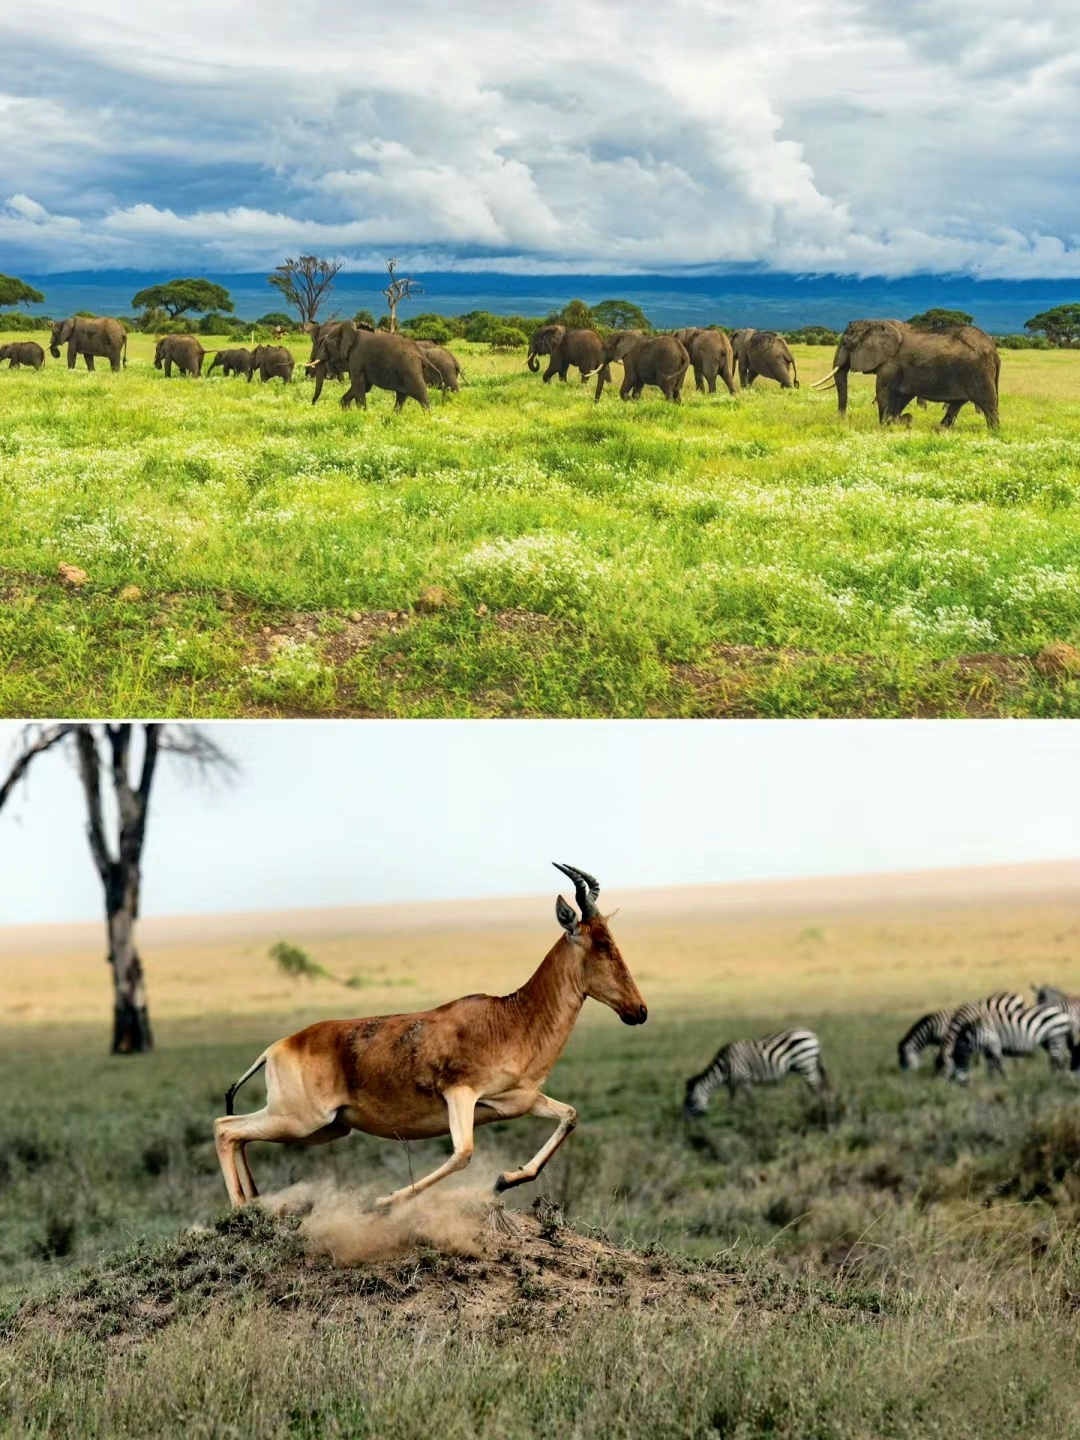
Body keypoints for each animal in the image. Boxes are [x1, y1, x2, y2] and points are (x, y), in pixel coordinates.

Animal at [216, 864, 648, 1215]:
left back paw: (255, 1203)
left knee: (237, 1134)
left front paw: (505, 1179)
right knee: (225, 1127)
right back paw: (241, 1211)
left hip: (326, 1128)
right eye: (601, 944)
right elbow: (463, 1153)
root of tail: (278, 1047)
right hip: (301, 1119)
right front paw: (384, 1201)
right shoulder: (460, 1094)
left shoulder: (518, 1102)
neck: (510, 1017)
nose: (639, 1011)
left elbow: (570, 1116)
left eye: (612, 939)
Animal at [685, 1031, 829, 1117]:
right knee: (820, 1088)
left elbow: (751, 1101)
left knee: (817, 1091)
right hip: (811, 1066)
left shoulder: (744, 1079)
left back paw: (817, 1111)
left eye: (690, 1102)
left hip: (806, 1065)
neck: (724, 1068)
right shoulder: (732, 1083)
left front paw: (755, 1118)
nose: (685, 1124)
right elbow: (732, 1101)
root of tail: (813, 1035)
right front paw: (731, 1116)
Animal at [817, 325, 1002, 432]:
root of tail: (994, 350)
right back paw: (939, 429)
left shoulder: (890, 365)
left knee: (988, 405)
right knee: (957, 404)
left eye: (845, 344)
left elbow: (884, 392)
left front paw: (886, 426)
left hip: (979, 371)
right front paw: (902, 421)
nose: (842, 421)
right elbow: (901, 396)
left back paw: (993, 432)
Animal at [944, 1002, 1077, 1082]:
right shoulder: (988, 1050)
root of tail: (1064, 1014)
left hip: (1056, 1037)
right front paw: (991, 1082)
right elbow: (991, 1067)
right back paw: (1057, 1078)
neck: (976, 1033)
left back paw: (1056, 1081)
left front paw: (1006, 1080)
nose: (962, 1086)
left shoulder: (994, 1044)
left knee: (1058, 1060)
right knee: (1060, 1059)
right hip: (1048, 1041)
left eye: (955, 1063)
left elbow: (999, 1065)